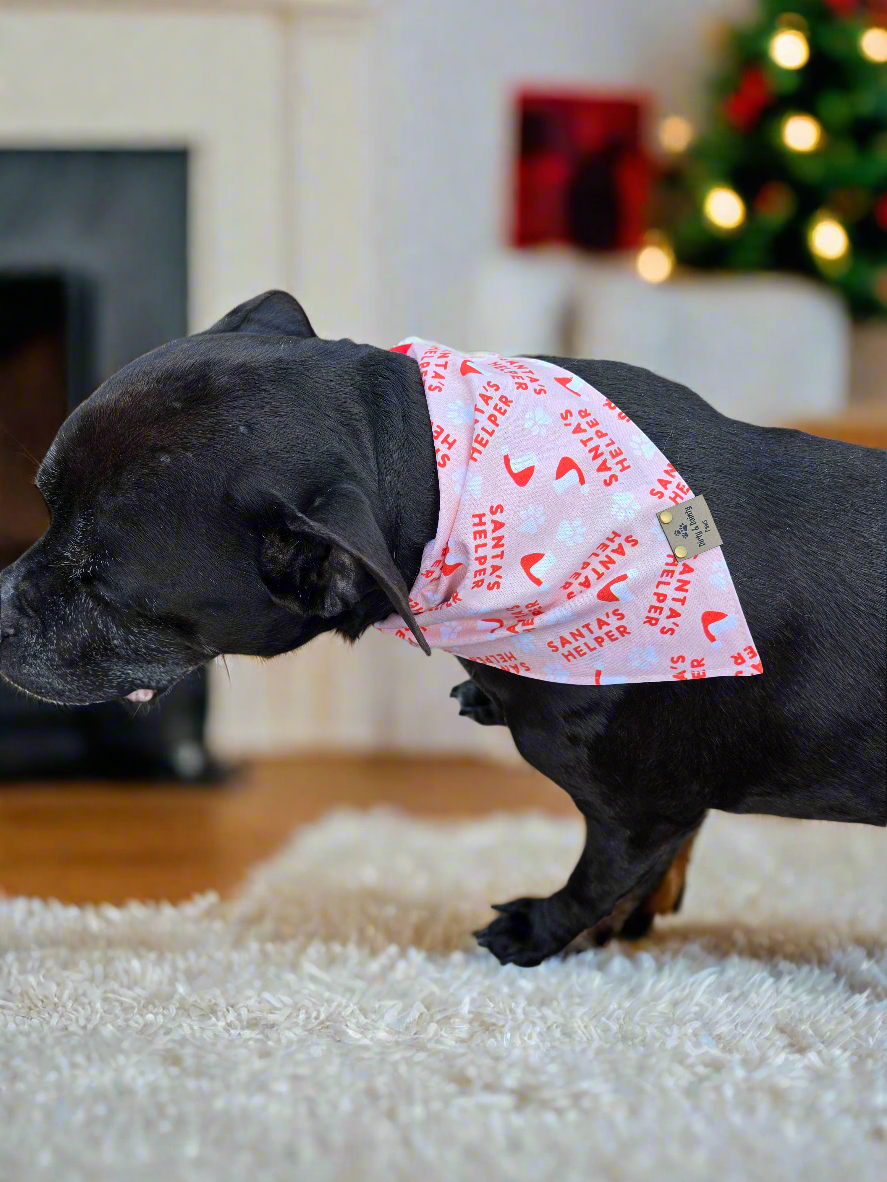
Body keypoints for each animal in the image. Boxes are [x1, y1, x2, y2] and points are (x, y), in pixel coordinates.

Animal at [0, 290, 884, 964]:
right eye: (44, 506)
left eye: (100, 586)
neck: (437, 472)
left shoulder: (638, 808)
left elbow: (598, 875)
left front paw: (538, 930)